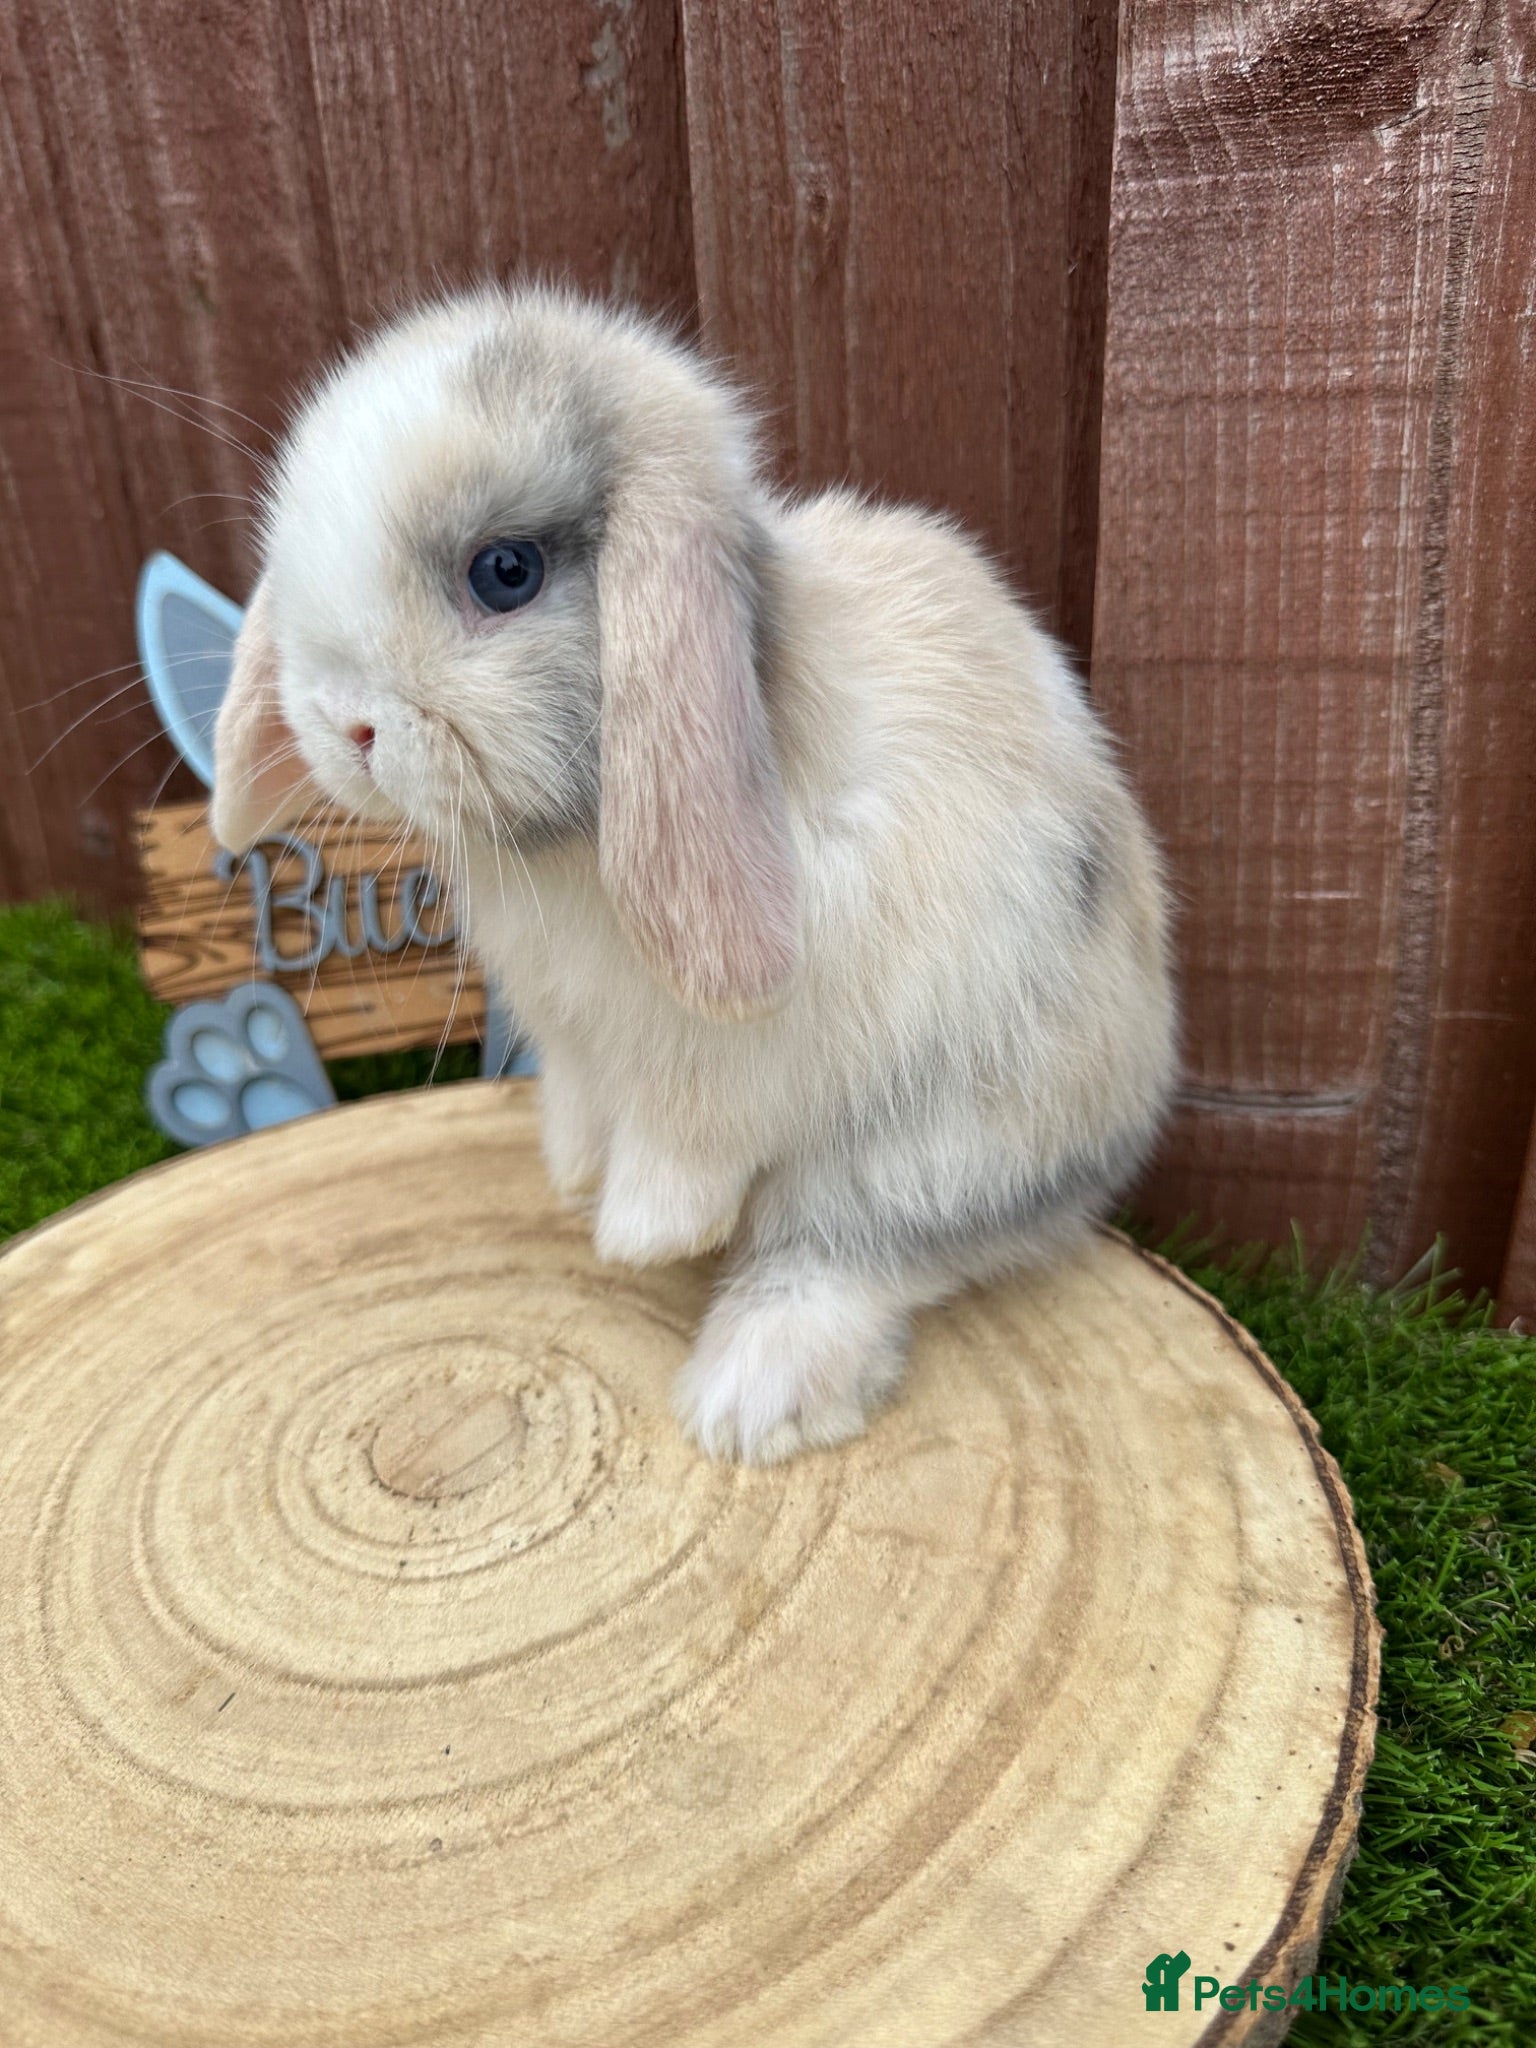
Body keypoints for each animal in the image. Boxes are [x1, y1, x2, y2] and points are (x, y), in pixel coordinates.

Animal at [212, 283, 1177, 1464]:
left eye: (506, 572)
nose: (345, 724)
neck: (566, 850)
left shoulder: (734, 1065)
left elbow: (693, 1138)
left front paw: (639, 1230)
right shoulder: (577, 1041)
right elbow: (588, 1102)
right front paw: (574, 1173)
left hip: (944, 1144)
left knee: (854, 1252)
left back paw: (748, 1399)